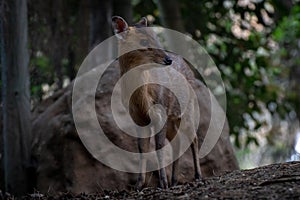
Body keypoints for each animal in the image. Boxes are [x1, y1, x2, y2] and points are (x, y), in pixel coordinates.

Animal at [110, 16, 202, 189]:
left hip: (188, 110)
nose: (168, 59)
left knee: (194, 138)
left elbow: (159, 147)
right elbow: (142, 149)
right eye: (143, 41)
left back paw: (197, 176)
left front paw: (163, 183)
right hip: (173, 119)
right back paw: (174, 180)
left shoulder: (161, 112)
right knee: (177, 142)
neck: (142, 100)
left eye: (156, 38)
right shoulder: (137, 118)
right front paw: (139, 185)